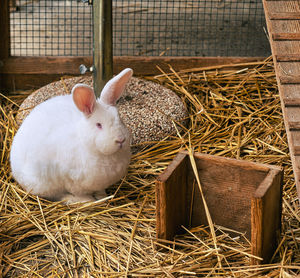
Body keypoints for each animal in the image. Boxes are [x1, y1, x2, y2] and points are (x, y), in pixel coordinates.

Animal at [10, 67, 132, 202]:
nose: (120, 140)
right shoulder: (72, 181)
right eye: (99, 125)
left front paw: (102, 197)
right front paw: (88, 201)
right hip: (43, 184)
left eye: (119, 118)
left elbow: (100, 191)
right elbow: (80, 194)